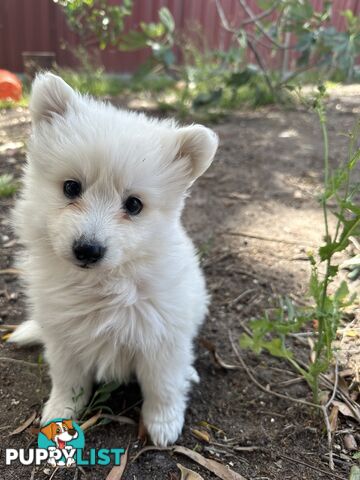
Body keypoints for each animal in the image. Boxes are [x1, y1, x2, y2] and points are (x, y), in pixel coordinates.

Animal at [9, 73, 218, 448]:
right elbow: (68, 380)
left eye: (134, 205)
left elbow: (162, 385)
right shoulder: (63, 338)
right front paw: (59, 415)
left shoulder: (162, 338)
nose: (87, 250)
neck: (102, 285)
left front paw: (163, 424)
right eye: (71, 188)